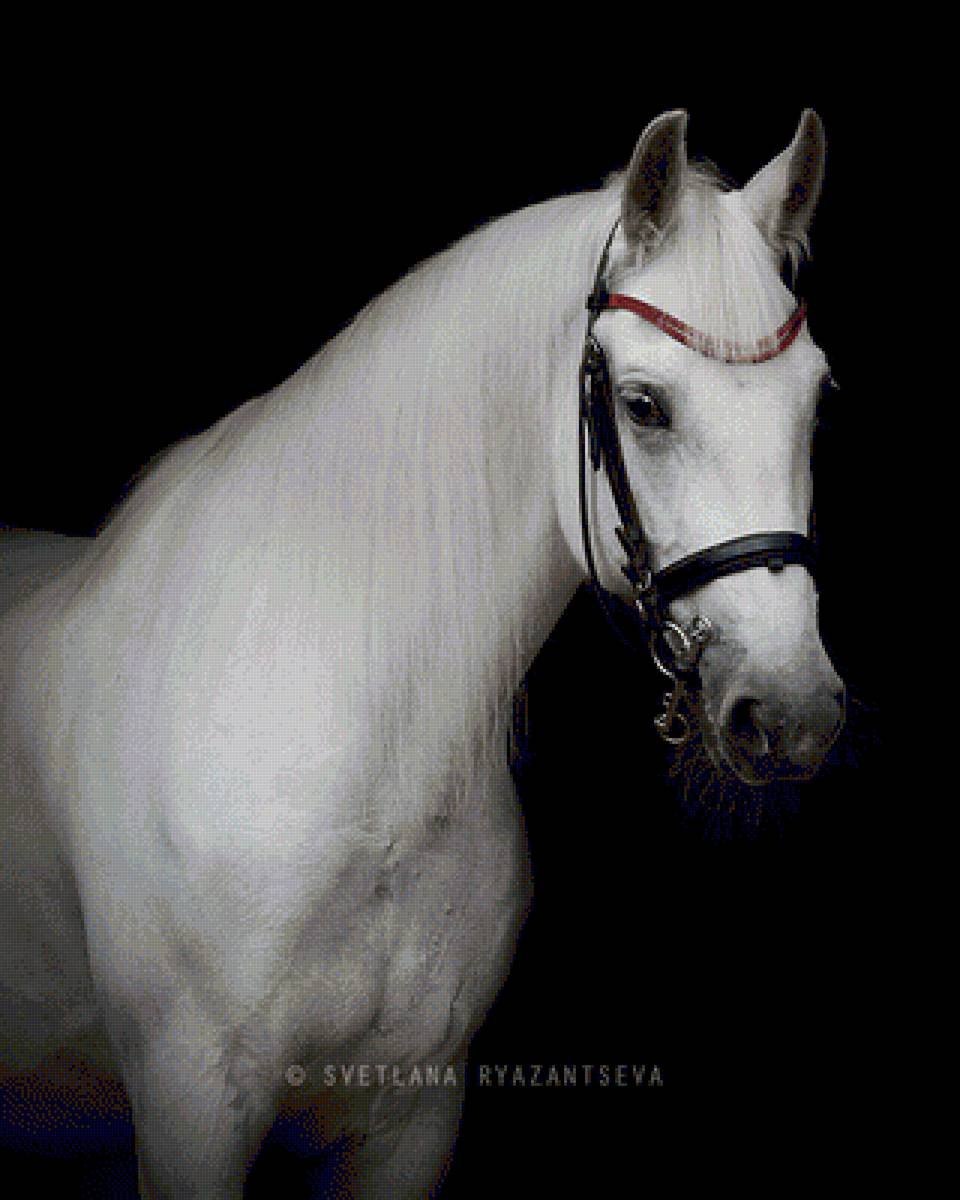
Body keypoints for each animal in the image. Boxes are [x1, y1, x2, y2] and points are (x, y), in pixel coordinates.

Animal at [0, 110, 840, 1190]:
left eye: (816, 398)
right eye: (645, 405)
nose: (792, 712)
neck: (371, 782)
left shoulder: (415, 1115)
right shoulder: (190, 1110)